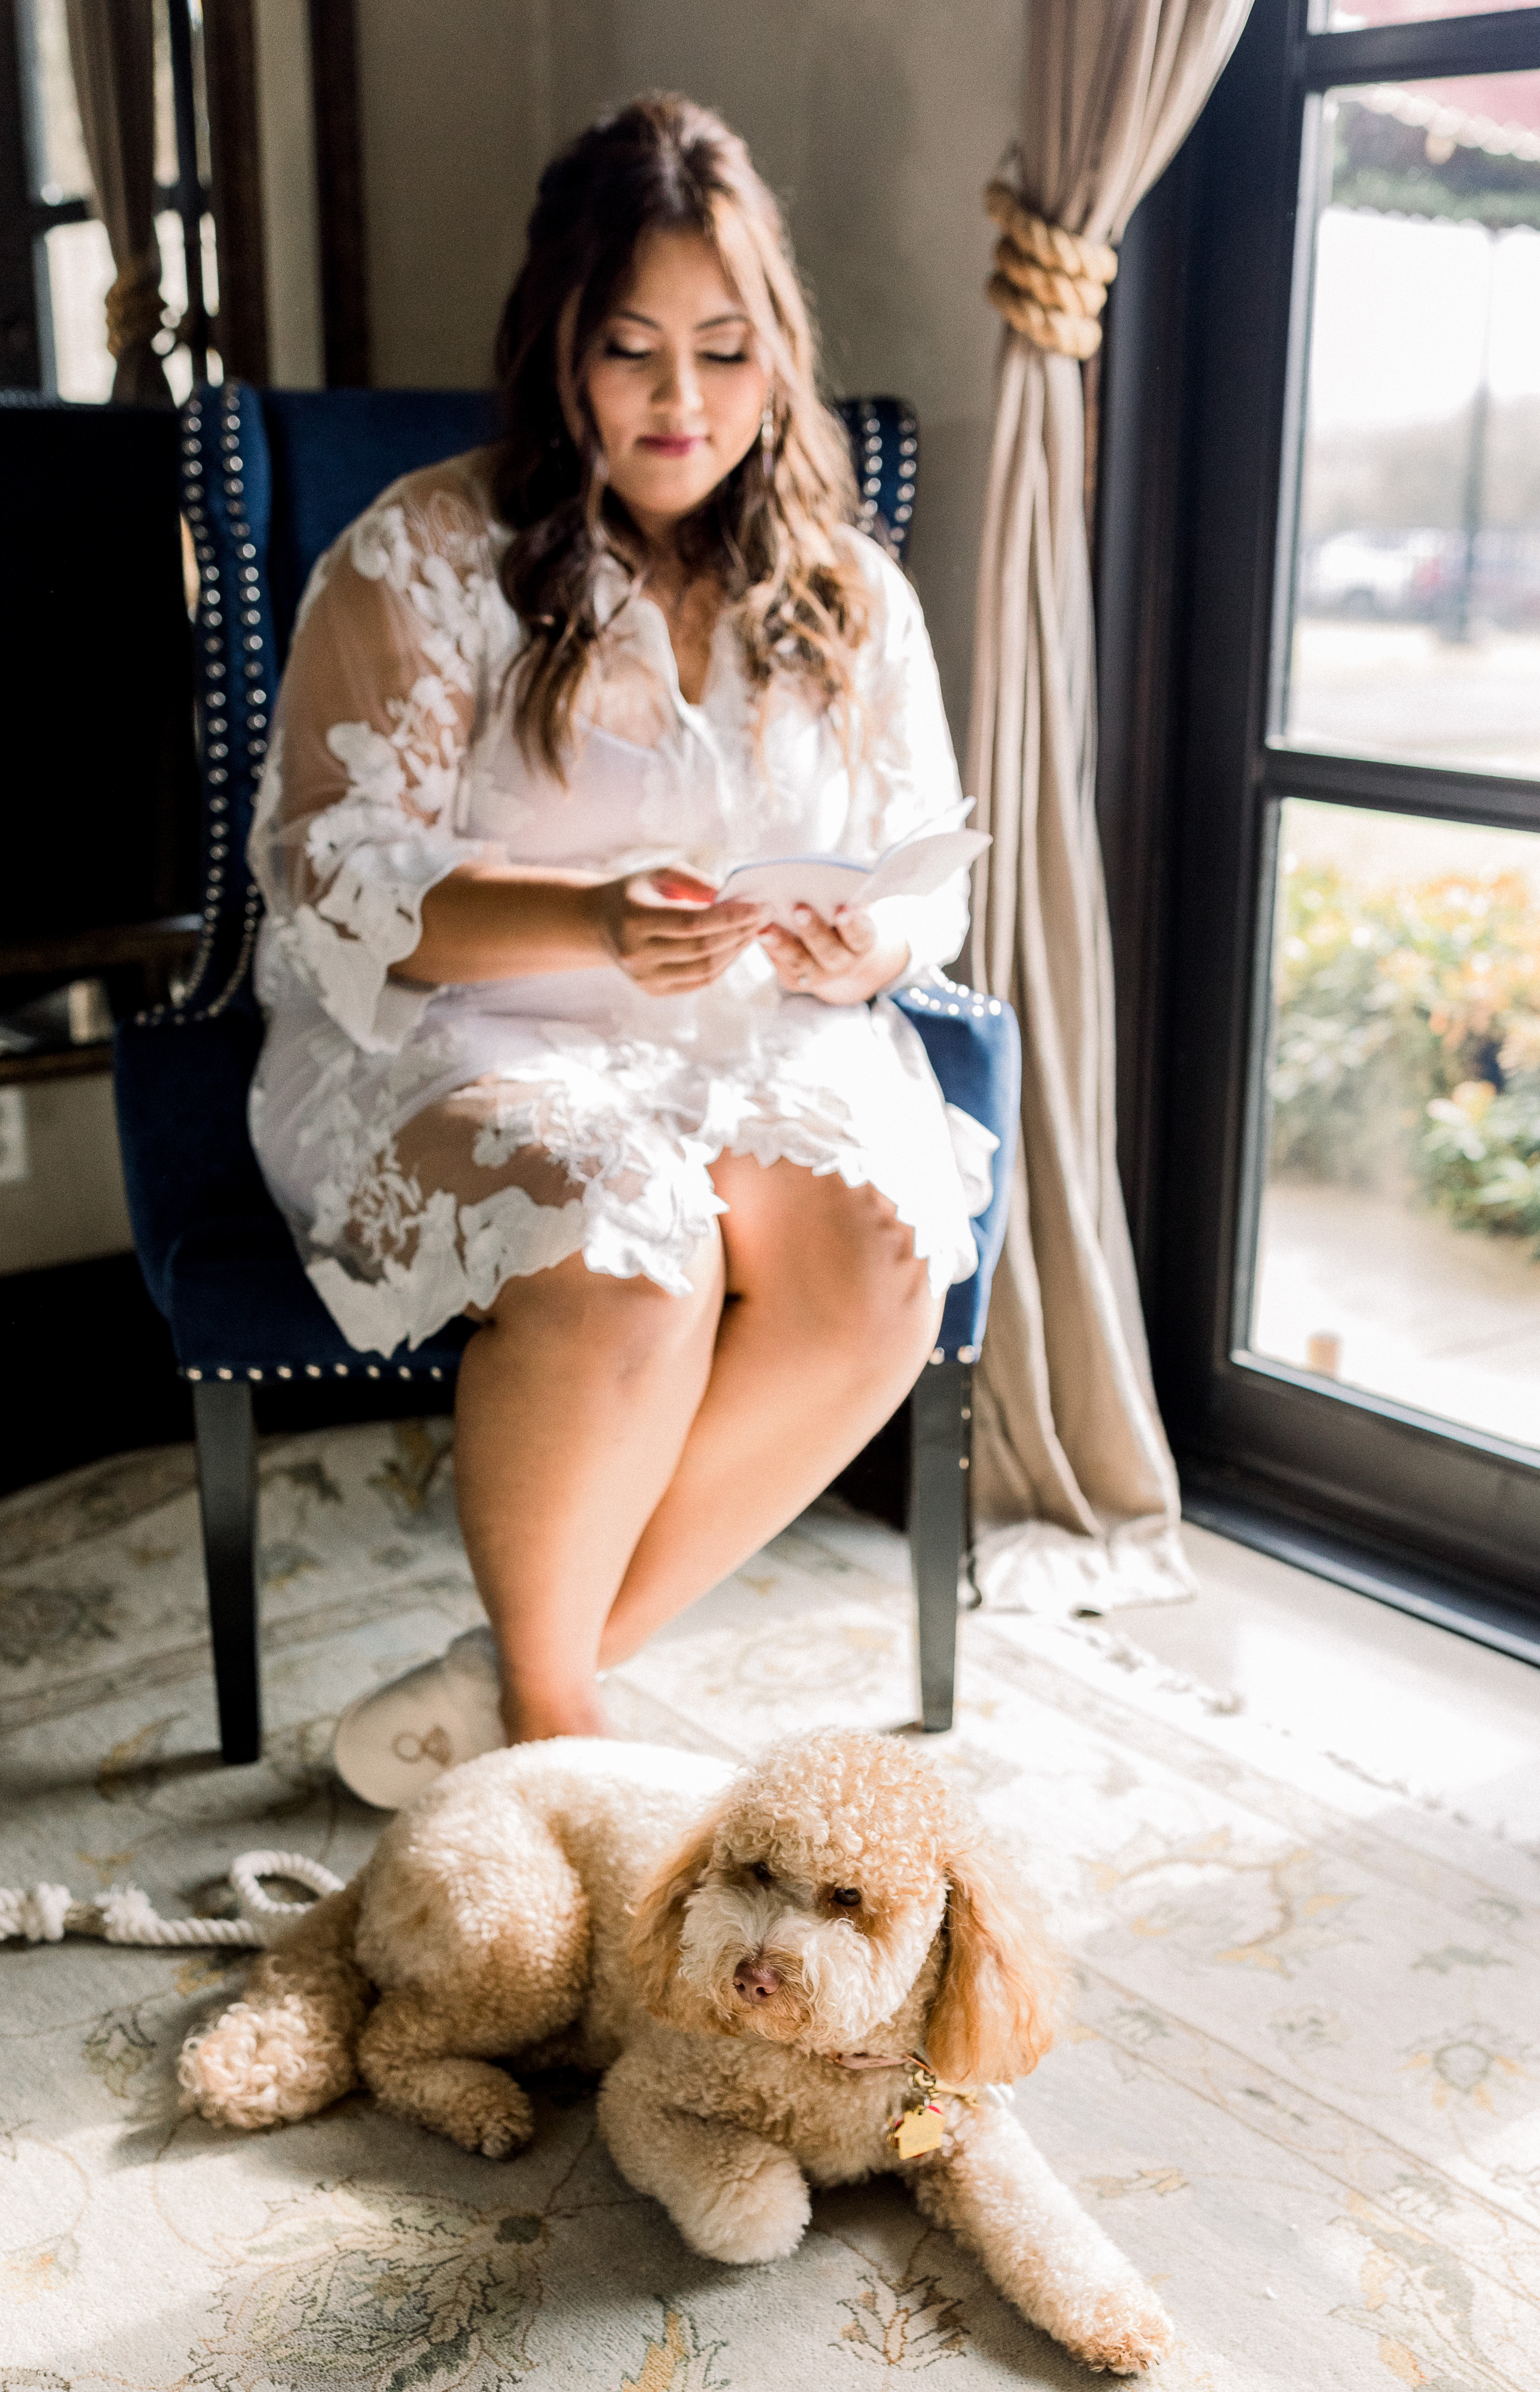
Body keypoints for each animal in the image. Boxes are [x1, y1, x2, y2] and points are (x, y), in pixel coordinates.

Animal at [187, 1732, 1186, 2382]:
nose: (750, 1973)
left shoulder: (966, 2132)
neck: (830, 2060)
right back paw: (482, 2102)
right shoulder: (645, 2097)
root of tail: (392, 1836)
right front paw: (780, 2197)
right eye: (752, 1868)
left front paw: (1117, 2318)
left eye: (848, 1897)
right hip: (524, 1929)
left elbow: (1049, 2228)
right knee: (384, 2042)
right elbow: (755, 2200)